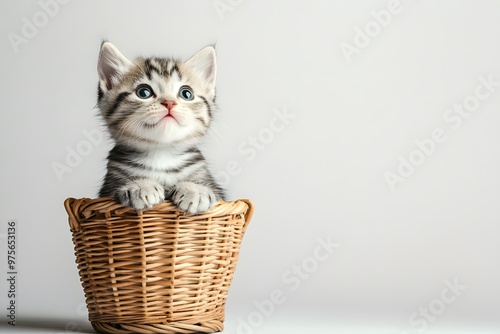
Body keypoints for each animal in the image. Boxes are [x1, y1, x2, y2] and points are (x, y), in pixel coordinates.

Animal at [96, 42, 225, 214]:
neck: (162, 154)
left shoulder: (213, 186)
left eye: (186, 93)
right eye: (143, 92)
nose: (169, 102)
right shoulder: (107, 188)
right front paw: (141, 186)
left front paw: (195, 190)